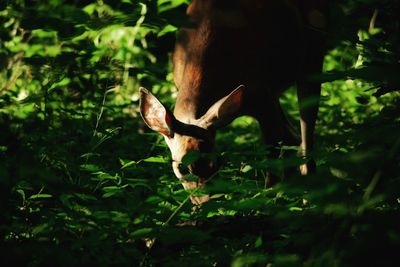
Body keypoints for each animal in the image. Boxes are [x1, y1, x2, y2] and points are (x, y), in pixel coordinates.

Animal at [139, 0, 326, 205]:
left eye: (217, 162)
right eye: (181, 167)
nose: (207, 202)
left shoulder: (261, 97)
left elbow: (272, 153)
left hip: (314, 51)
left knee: (305, 132)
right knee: (292, 135)